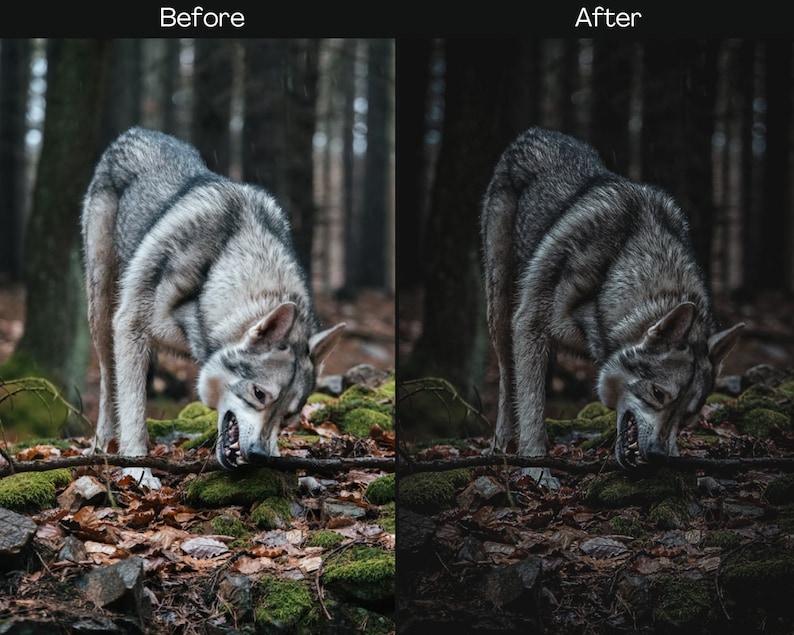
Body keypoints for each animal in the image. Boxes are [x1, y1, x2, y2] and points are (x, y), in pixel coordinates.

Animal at [82, 127, 345, 488]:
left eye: (289, 416)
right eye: (259, 394)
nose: (258, 456)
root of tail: (137, 131)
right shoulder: (130, 328)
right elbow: (134, 410)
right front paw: (138, 471)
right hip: (102, 313)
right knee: (109, 386)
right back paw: (101, 445)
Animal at [481, 128, 744, 488]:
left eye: (688, 415)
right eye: (658, 393)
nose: (658, 456)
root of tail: (536, 132)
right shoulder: (529, 326)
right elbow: (533, 409)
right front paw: (536, 470)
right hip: (500, 311)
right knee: (508, 385)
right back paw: (499, 445)